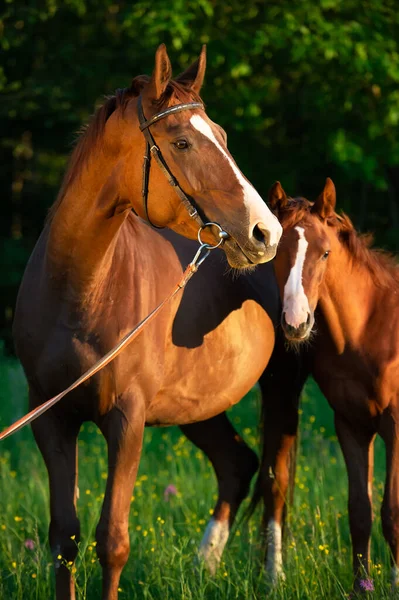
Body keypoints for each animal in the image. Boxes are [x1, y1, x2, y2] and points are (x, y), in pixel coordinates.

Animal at [12, 45, 282, 600]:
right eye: (181, 141)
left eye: (222, 136)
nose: (266, 233)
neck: (81, 293)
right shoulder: (49, 416)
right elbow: (64, 538)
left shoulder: (128, 419)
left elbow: (112, 540)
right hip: (200, 405)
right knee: (236, 464)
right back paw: (205, 566)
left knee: (277, 481)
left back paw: (275, 575)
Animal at [260, 177, 399, 592]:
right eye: (276, 253)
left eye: (325, 253)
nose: (296, 323)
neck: (368, 330)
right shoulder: (351, 425)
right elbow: (360, 511)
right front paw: (361, 588)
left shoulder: (396, 427)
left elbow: (392, 512)